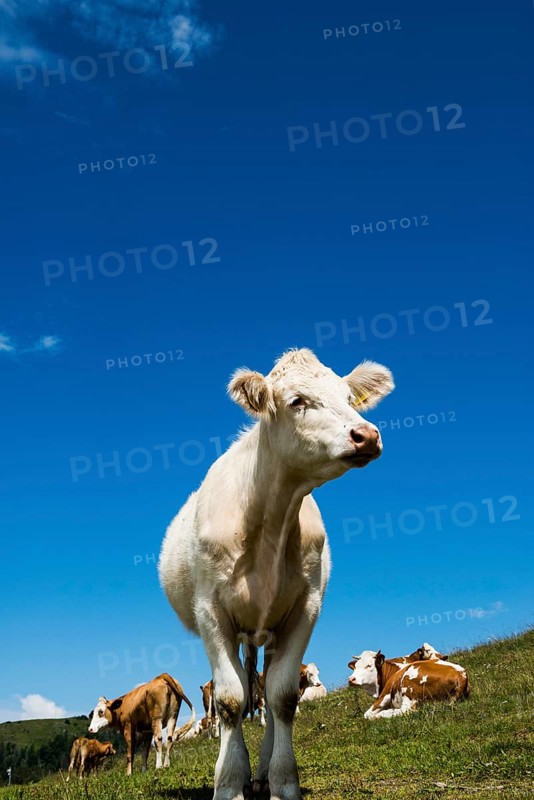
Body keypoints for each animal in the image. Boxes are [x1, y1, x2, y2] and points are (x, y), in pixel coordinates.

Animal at [159, 348, 394, 800]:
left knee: (266, 690)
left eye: (348, 398)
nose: (366, 435)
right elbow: (231, 700)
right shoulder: (211, 612)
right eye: (297, 400)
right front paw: (229, 783)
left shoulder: (305, 608)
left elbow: (282, 695)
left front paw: (283, 780)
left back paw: (263, 771)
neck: (271, 517)